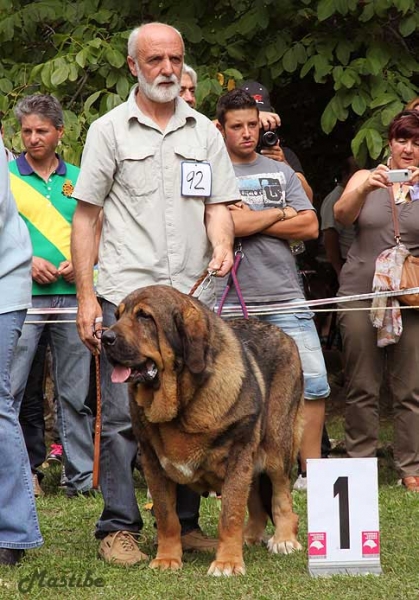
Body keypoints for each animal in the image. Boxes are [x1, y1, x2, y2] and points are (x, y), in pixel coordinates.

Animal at [101, 286, 306, 576]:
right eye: (118, 316)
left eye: (144, 317)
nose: (104, 337)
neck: (181, 401)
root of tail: (284, 334)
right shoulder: (152, 462)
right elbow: (167, 516)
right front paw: (167, 558)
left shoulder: (238, 454)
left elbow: (230, 513)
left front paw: (228, 562)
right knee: (256, 502)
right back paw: (249, 537)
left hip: (277, 445)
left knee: (281, 495)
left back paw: (284, 539)